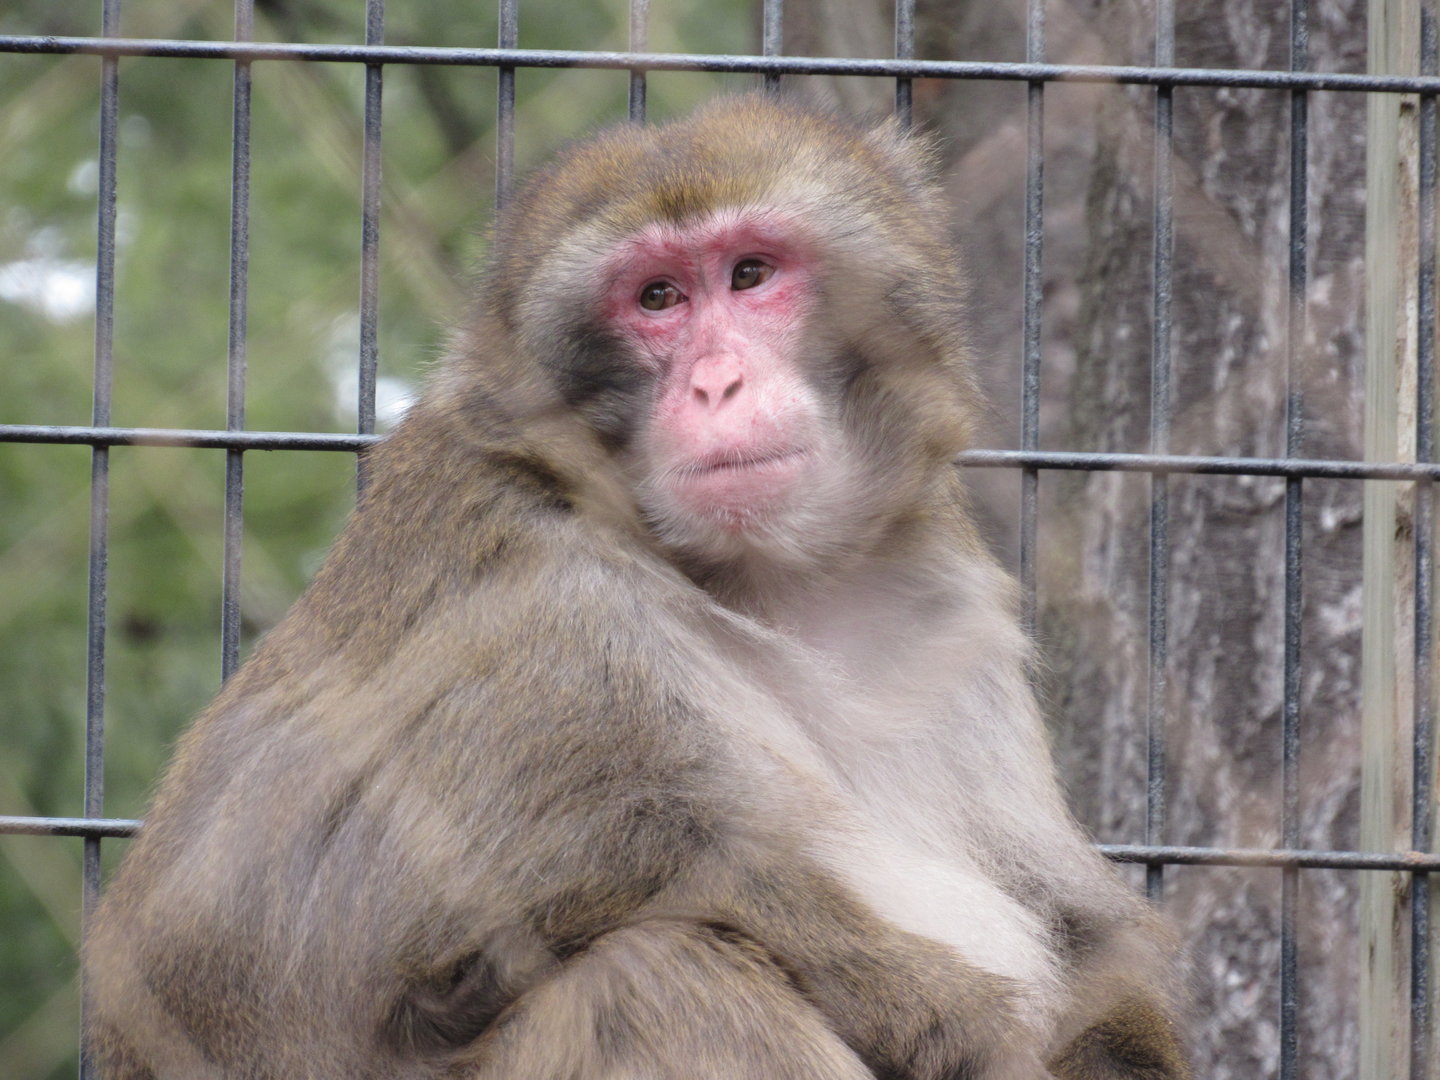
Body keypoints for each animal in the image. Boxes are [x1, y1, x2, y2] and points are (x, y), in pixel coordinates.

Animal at [85, 96, 1189, 1080]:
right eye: (656, 299)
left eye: (750, 273)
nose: (716, 383)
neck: (768, 582)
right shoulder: (542, 608)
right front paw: (946, 1016)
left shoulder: (945, 598)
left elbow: (1082, 937)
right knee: (653, 979)